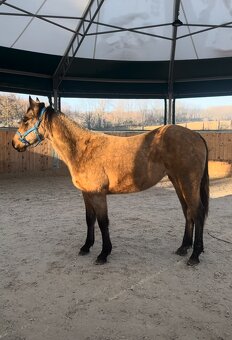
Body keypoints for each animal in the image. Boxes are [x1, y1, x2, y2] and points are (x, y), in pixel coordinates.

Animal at [11, 95, 209, 266]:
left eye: (26, 119)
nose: (14, 143)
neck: (83, 149)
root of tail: (196, 135)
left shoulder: (98, 194)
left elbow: (103, 222)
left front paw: (104, 253)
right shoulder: (86, 194)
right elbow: (89, 219)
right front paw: (86, 247)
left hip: (188, 183)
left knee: (197, 213)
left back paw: (195, 255)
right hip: (178, 182)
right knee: (187, 212)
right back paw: (184, 247)